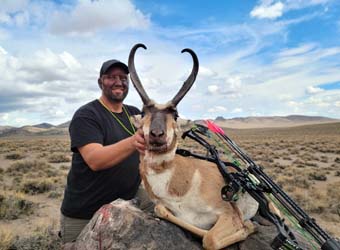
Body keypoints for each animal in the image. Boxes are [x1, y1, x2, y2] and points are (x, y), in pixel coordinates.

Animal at [129, 44, 258, 249]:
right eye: (143, 112)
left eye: (175, 114)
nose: (157, 134)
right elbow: (161, 210)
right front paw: (248, 226)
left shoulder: (228, 213)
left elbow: (210, 239)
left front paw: (247, 226)